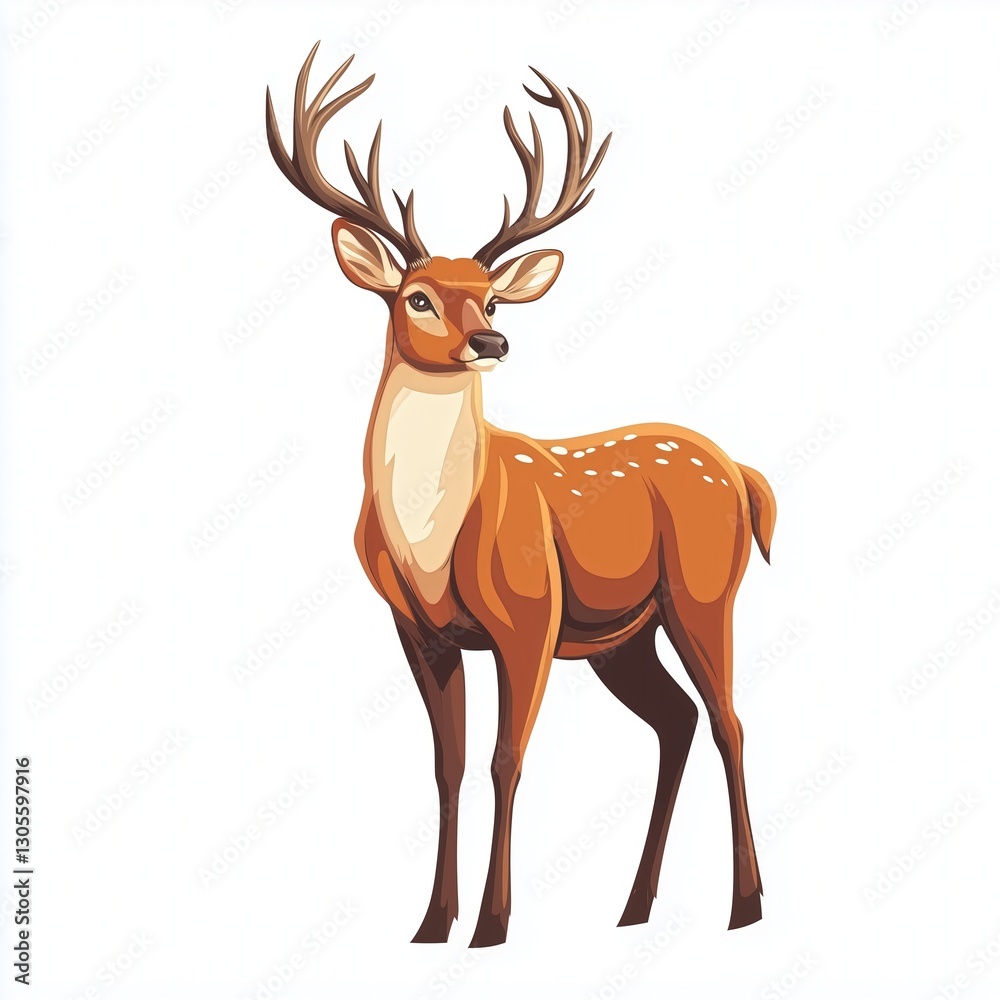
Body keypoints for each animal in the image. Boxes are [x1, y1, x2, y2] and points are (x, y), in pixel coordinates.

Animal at [266, 42, 776, 948]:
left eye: (494, 295)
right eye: (418, 296)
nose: (492, 340)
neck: (432, 546)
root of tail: (743, 473)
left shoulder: (530, 613)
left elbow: (507, 759)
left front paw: (493, 924)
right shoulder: (418, 628)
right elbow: (448, 764)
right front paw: (432, 923)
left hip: (704, 589)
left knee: (729, 721)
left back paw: (745, 907)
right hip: (623, 638)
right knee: (676, 721)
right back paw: (634, 908)